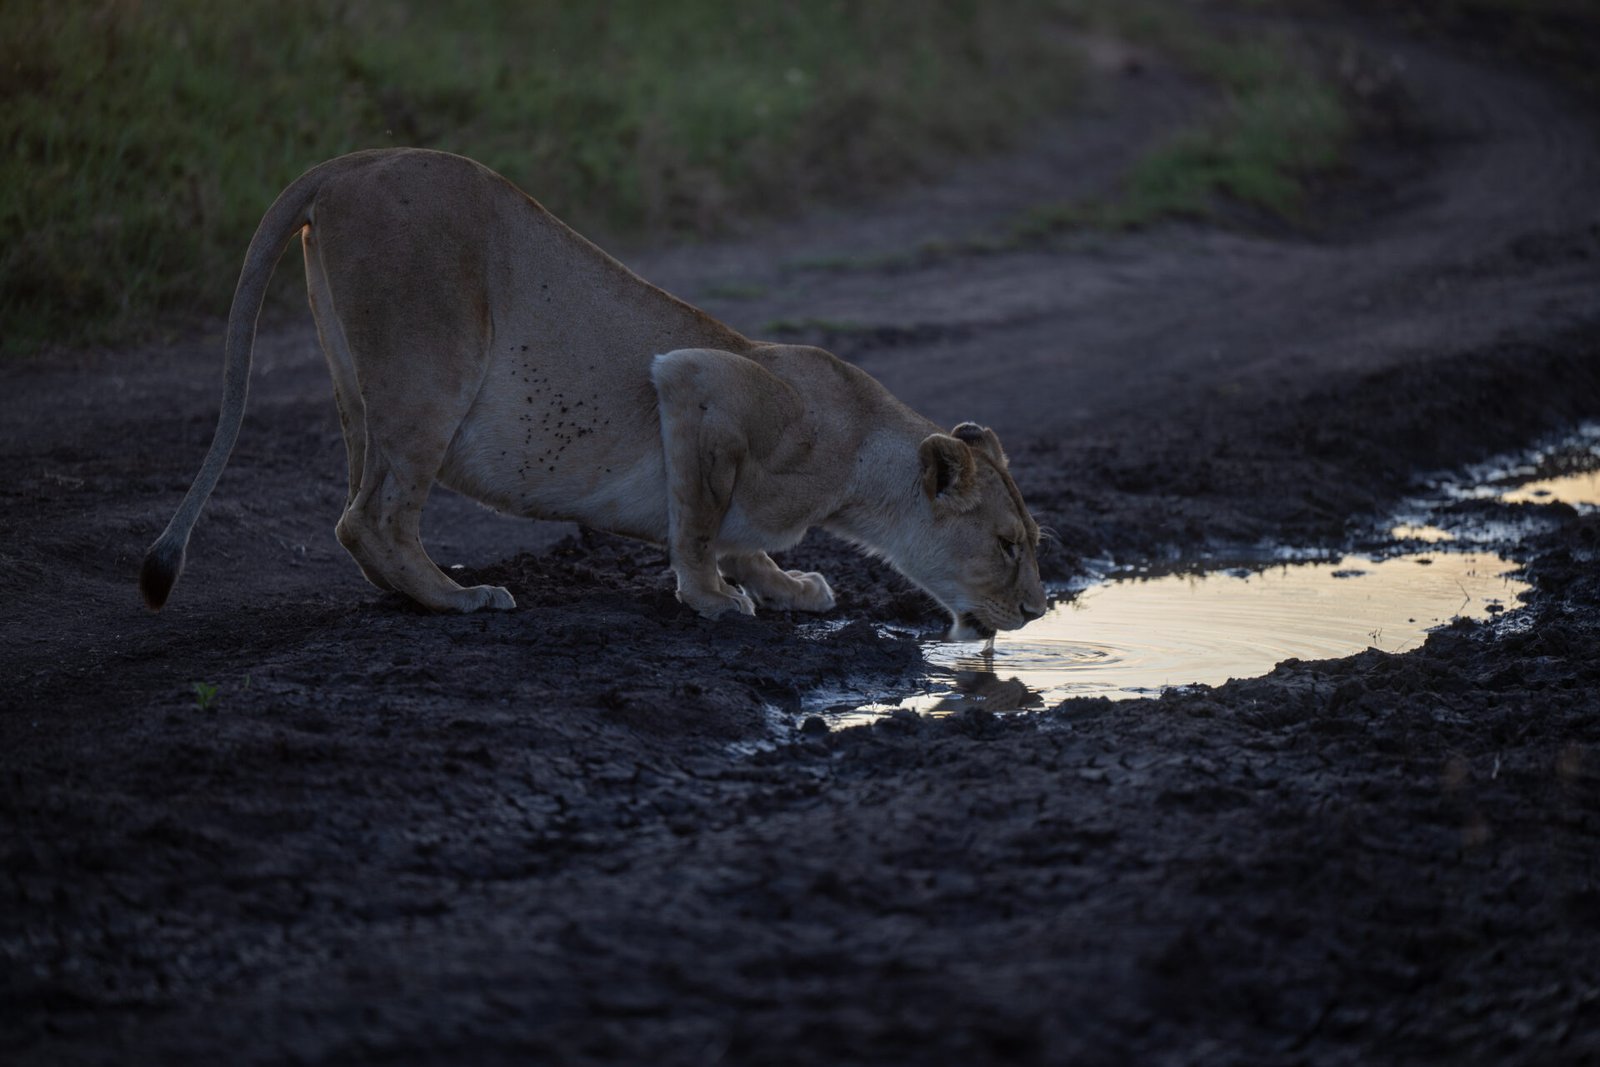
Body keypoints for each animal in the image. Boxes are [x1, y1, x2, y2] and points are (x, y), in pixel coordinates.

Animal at [140, 148, 1047, 640]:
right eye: (1007, 544)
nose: (1039, 612)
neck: (858, 463)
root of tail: (347, 163)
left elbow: (740, 535)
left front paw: (787, 586)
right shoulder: (695, 382)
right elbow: (699, 520)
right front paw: (713, 599)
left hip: (354, 384)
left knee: (362, 507)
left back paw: (413, 592)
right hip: (431, 364)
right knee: (371, 516)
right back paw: (459, 597)